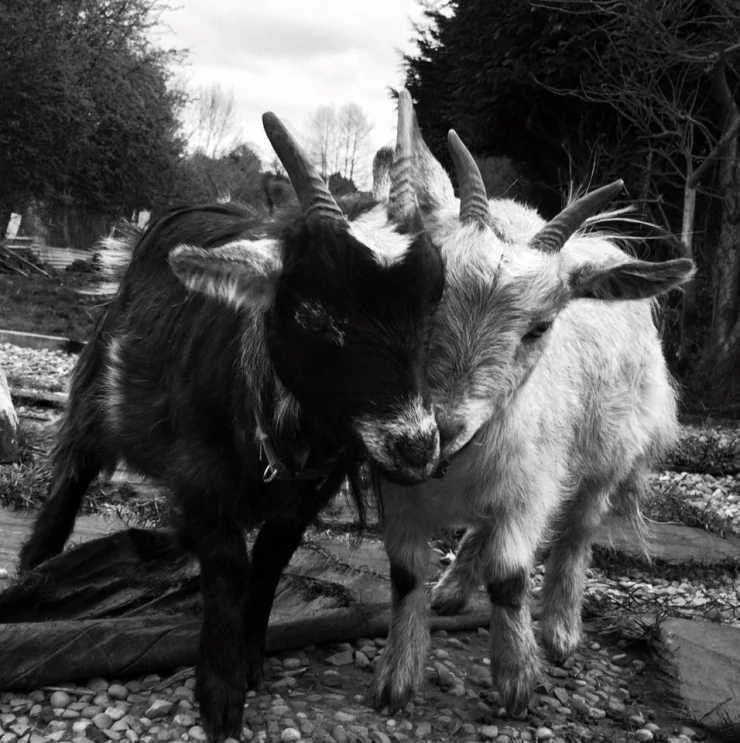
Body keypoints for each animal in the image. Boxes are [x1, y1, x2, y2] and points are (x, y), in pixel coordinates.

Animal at [17, 107, 444, 740]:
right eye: (315, 315)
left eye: (430, 306)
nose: (416, 447)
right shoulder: (198, 467)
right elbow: (228, 563)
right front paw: (218, 692)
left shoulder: (309, 492)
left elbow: (268, 562)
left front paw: (249, 657)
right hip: (98, 388)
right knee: (74, 468)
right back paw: (36, 565)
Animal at [371, 91, 695, 716]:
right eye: (428, 292)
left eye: (540, 326)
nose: (442, 429)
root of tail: (595, 246)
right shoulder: (397, 487)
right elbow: (405, 573)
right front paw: (397, 678)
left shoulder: (532, 485)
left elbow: (511, 577)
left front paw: (518, 680)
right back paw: (453, 590)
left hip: (608, 454)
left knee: (577, 533)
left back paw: (561, 630)